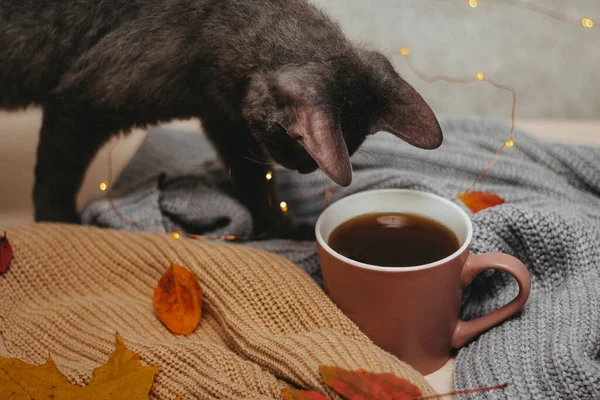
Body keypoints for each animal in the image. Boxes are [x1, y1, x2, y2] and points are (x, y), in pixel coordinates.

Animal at [0, 0, 440, 234]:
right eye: (297, 144)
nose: (302, 170)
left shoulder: (231, 124)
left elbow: (254, 182)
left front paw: (277, 226)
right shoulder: (79, 104)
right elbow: (55, 178)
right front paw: (58, 223)